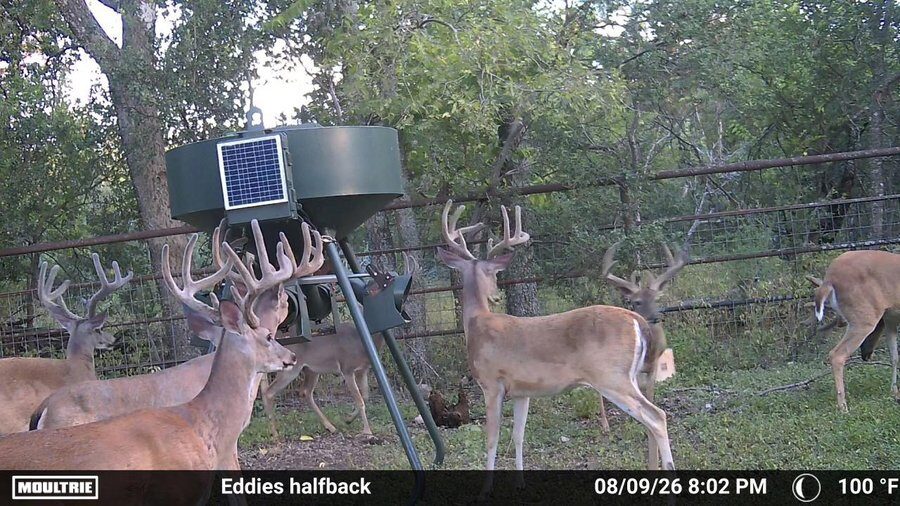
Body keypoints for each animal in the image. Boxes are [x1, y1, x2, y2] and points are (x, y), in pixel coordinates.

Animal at [436, 200, 674, 495]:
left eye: (495, 273)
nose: (496, 295)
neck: (477, 322)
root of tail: (637, 320)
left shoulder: (491, 384)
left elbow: (492, 439)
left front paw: (484, 490)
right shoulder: (521, 391)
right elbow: (518, 435)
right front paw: (521, 483)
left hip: (611, 377)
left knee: (657, 416)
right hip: (631, 376)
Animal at [598, 240, 688, 432]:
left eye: (657, 299)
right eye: (637, 302)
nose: (655, 317)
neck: (649, 352)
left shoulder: (653, 366)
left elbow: (650, 395)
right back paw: (605, 424)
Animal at [808, 250, 900, 412]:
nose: (865, 356)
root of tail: (829, 278)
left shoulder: (890, 320)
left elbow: (894, 356)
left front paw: (895, 392)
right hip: (863, 318)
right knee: (837, 355)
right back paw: (843, 407)